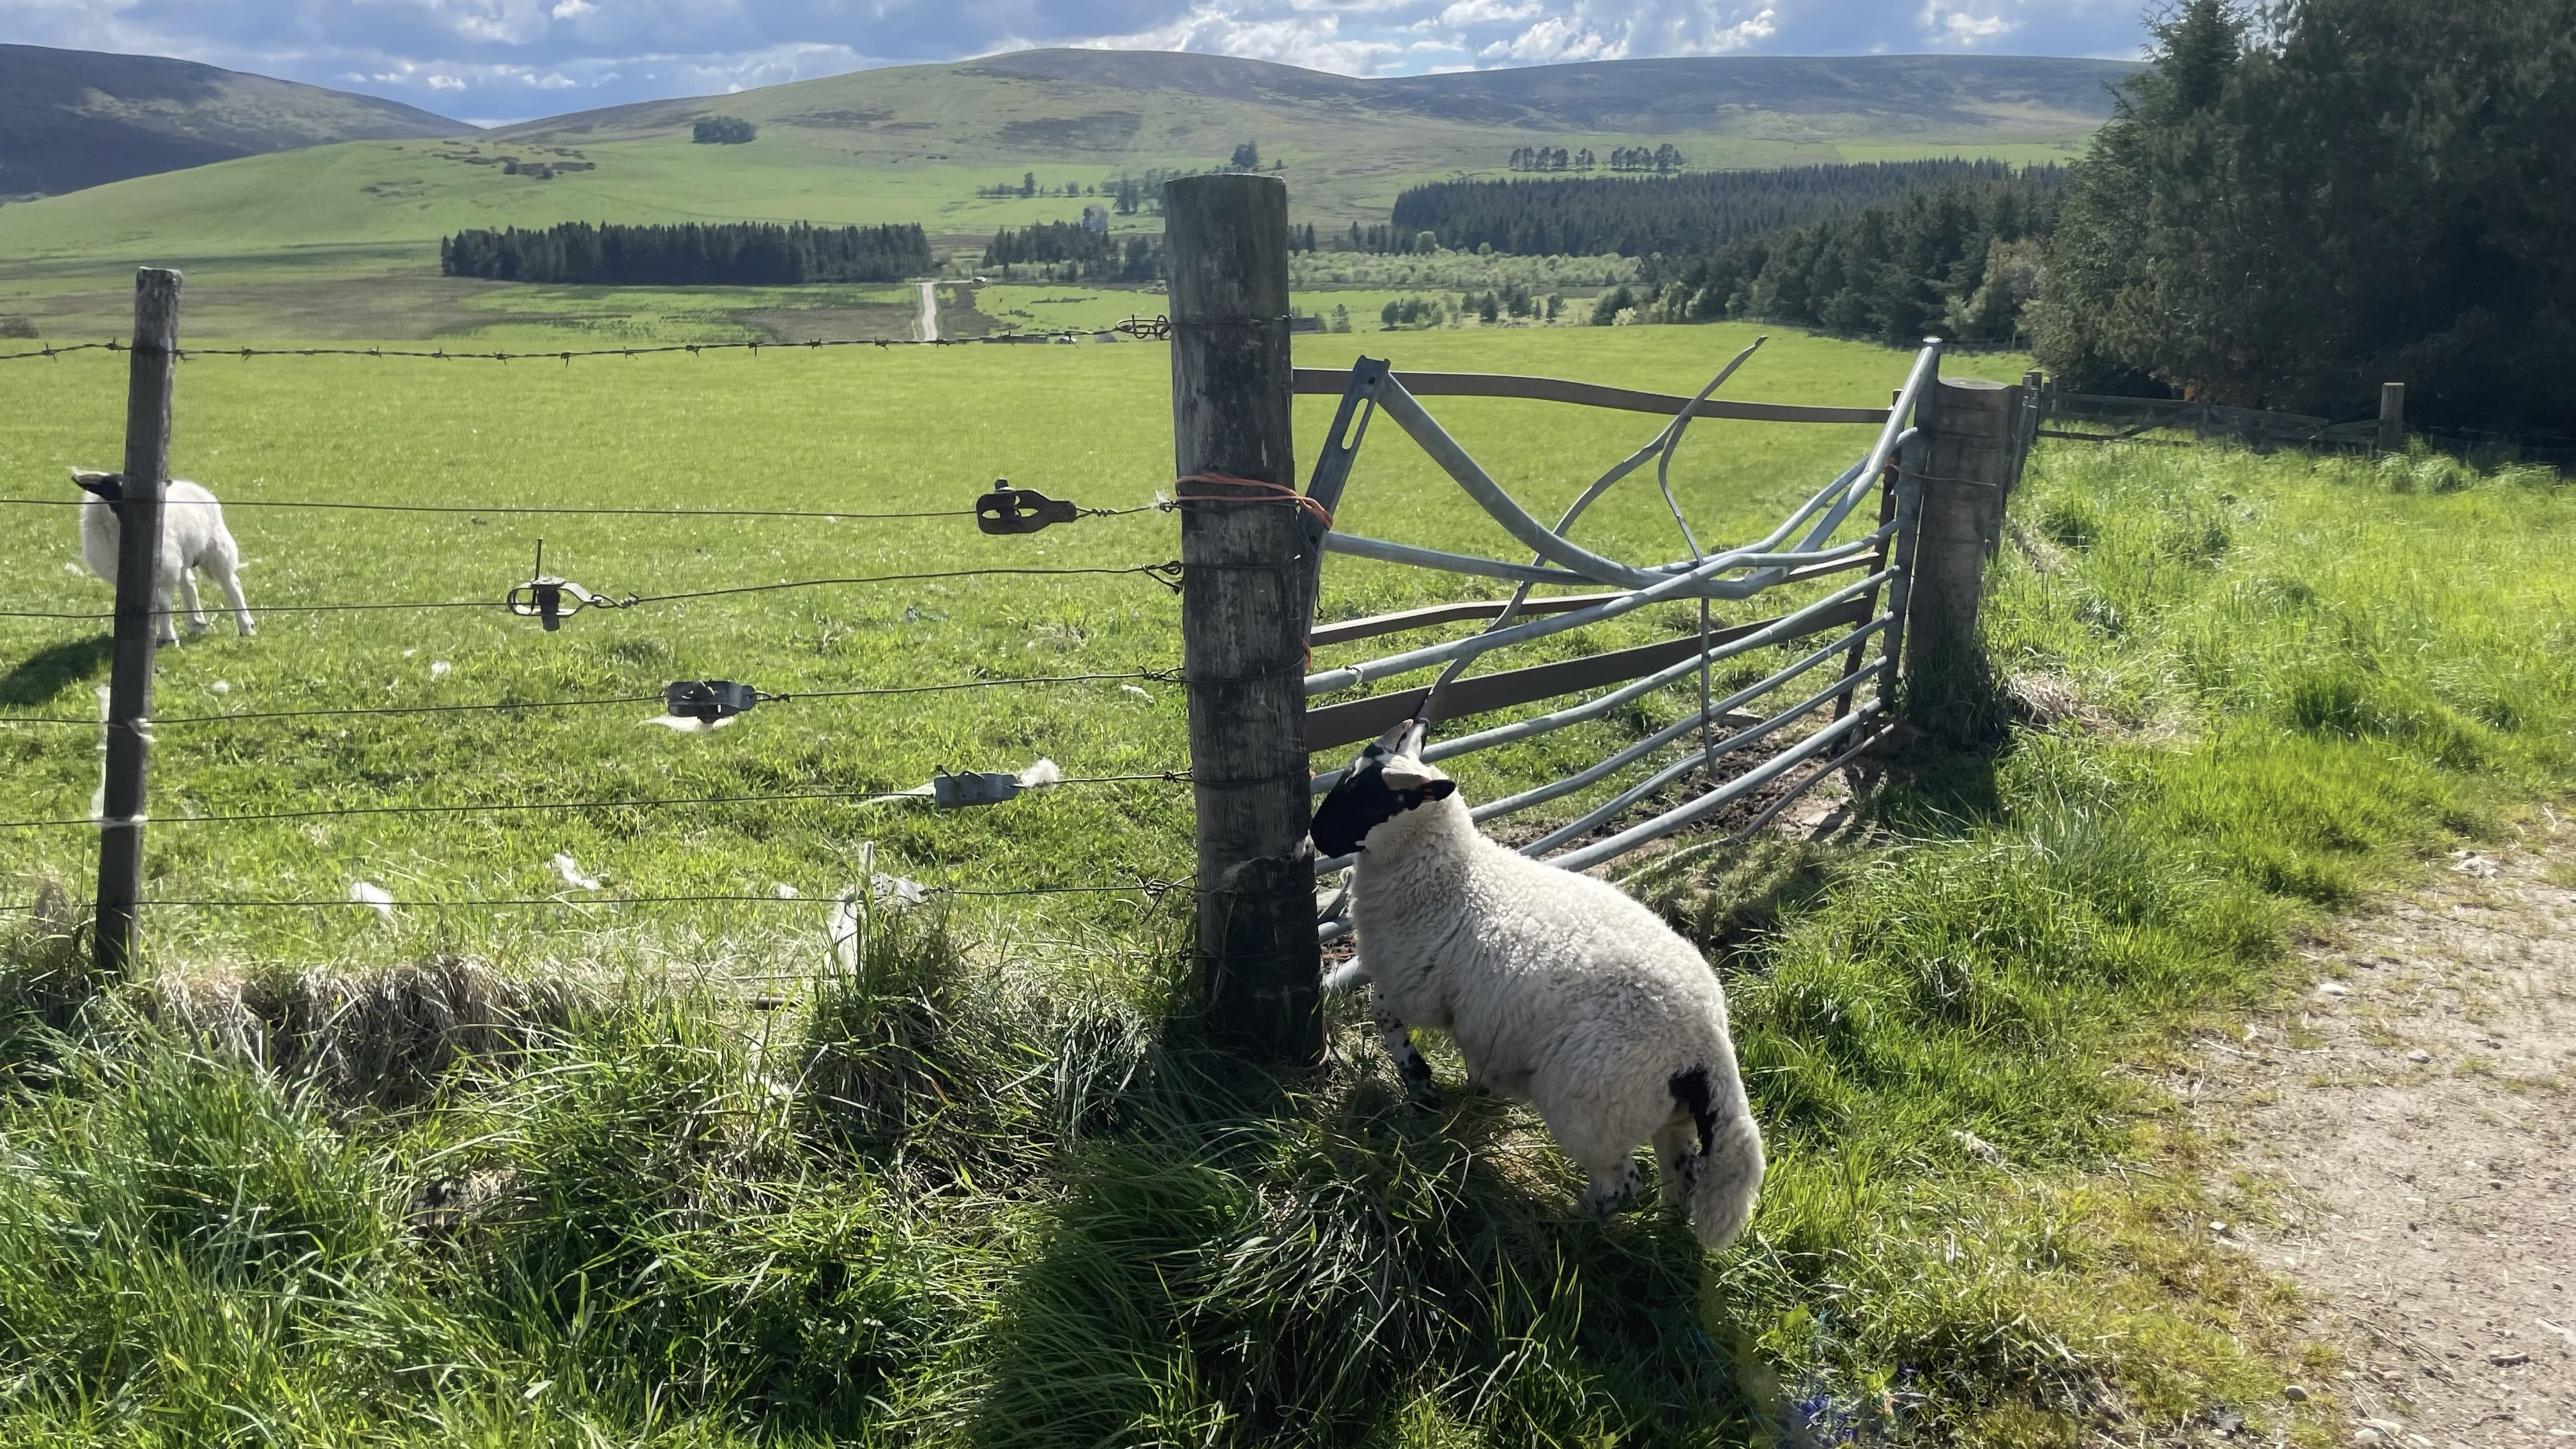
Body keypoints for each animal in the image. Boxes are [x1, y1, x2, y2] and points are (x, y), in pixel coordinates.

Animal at [70, 469, 254, 645]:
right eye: (111, 490)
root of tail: (196, 488)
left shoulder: (164, 572)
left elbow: (163, 604)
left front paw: (169, 637)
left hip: (216, 549)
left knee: (231, 584)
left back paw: (246, 626)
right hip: (182, 557)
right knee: (189, 584)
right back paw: (197, 623)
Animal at [1310, 720, 1765, 1251]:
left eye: (1361, 797)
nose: (1316, 835)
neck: (1449, 875)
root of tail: (1708, 1047)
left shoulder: (1414, 986)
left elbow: (1381, 1010)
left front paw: (1421, 1083)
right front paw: (1464, 1088)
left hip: (1591, 1110)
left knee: (1620, 1185)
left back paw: (1558, 1229)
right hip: (1662, 1115)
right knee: (1682, 1176)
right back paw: (1662, 1235)